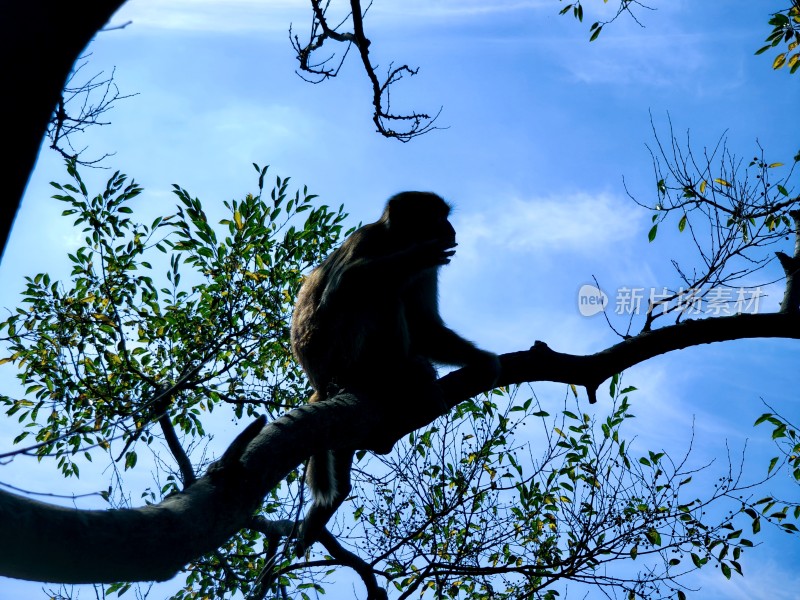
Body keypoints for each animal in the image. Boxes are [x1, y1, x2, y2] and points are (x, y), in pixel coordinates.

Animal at [288, 191, 500, 552]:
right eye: (437, 216)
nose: (450, 229)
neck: (394, 242)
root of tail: (319, 379)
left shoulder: (427, 273)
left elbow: (424, 326)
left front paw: (480, 359)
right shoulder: (368, 241)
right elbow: (339, 291)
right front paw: (416, 254)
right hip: (339, 355)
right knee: (376, 295)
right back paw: (396, 375)